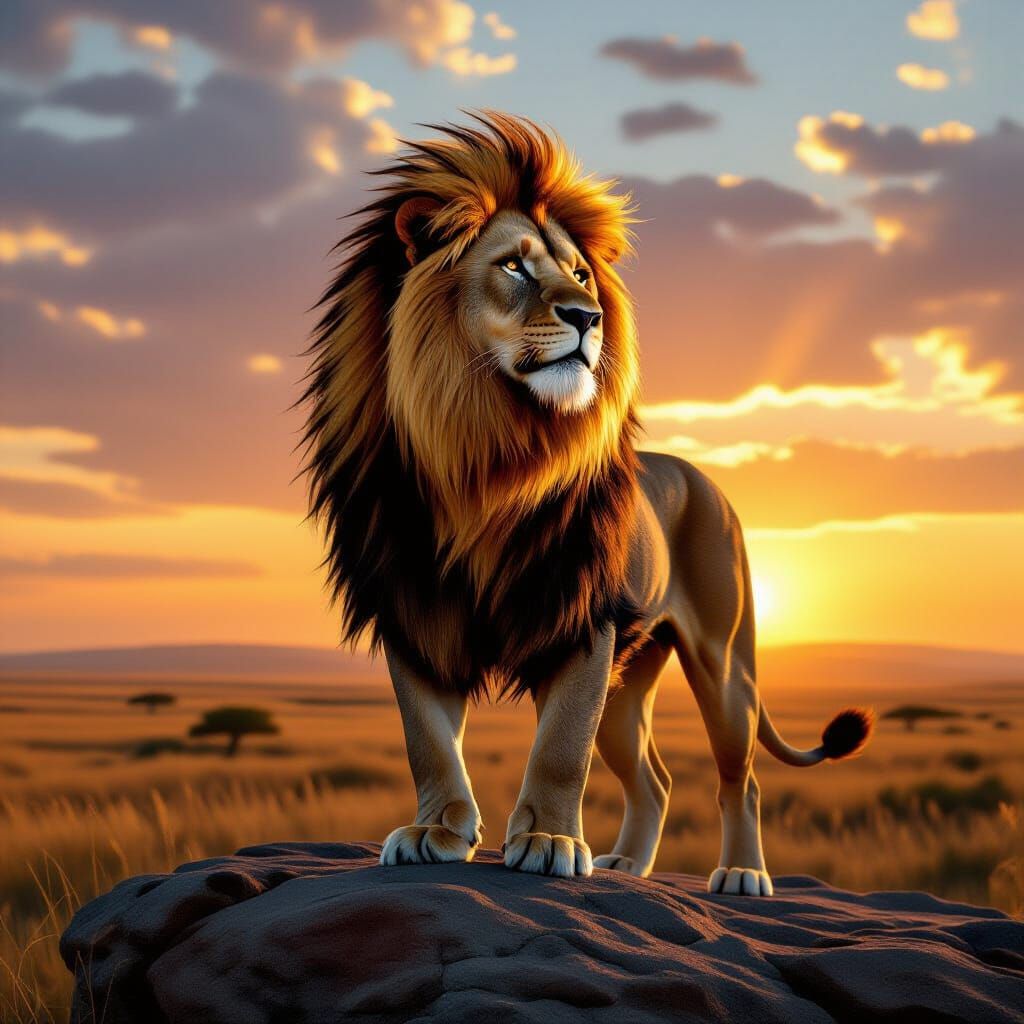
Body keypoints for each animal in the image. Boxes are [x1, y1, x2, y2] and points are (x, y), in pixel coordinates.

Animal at [302, 112, 872, 895]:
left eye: (578, 275)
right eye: (513, 267)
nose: (588, 315)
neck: (483, 452)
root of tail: (704, 478)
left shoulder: (581, 620)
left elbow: (560, 748)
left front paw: (546, 840)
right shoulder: (414, 611)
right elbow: (428, 740)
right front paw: (435, 831)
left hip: (723, 663)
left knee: (741, 778)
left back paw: (742, 875)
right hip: (628, 686)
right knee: (655, 777)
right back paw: (629, 862)